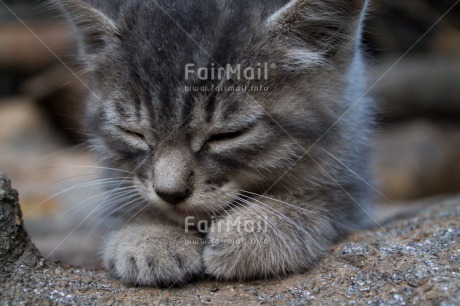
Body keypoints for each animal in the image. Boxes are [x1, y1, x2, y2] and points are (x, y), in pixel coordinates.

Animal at [56, 0, 374, 286]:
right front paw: (148, 235)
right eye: (134, 133)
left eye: (226, 135)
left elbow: (323, 199)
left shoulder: (351, 168)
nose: (170, 193)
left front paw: (257, 230)